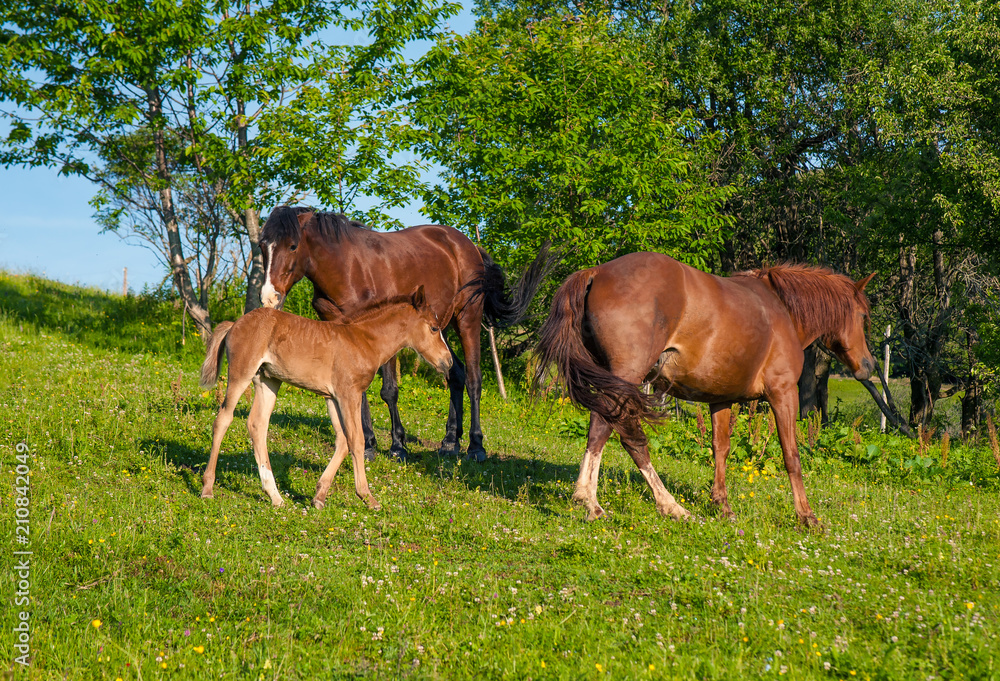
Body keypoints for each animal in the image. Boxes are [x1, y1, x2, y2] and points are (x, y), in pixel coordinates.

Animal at [197, 286, 452, 510]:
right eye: (433, 328)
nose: (447, 361)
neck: (364, 340)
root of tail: (235, 324)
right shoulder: (349, 394)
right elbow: (356, 440)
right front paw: (367, 497)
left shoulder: (332, 397)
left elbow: (342, 440)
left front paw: (319, 496)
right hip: (241, 373)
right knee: (224, 419)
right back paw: (207, 488)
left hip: (268, 381)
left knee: (257, 425)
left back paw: (275, 496)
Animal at [258, 206, 552, 462]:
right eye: (262, 246)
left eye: (292, 245)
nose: (269, 297)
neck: (348, 269)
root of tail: (468, 246)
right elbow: (358, 389)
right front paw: (368, 445)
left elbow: (389, 390)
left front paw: (398, 447)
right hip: (439, 328)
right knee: (454, 373)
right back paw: (450, 442)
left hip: (467, 319)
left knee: (473, 380)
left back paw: (475, 446)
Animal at [532, 252, 876, 528]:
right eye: (863, 316)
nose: (868, 365)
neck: (781, 310)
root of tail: (598, 272)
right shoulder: (783, 394)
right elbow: (791, 454)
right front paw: (806, 516)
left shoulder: (721, 400)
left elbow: (720, 448)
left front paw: (721, 505)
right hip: (625, 378)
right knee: (609, 431)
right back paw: (597, 503)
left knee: (620, 435)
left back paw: (665, 506)